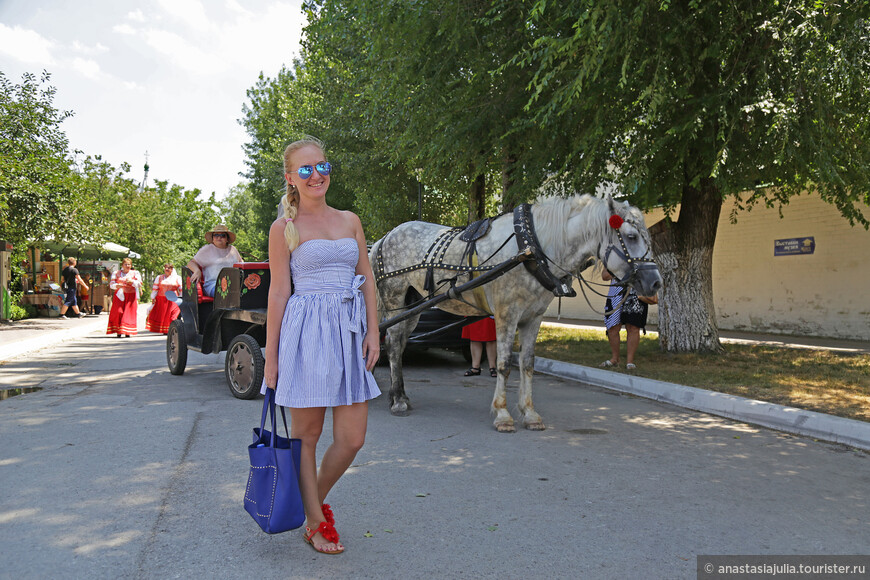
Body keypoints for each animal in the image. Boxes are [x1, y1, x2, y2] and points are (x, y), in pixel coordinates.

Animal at [372, 195, 664, 430]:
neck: (532, 248)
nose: (656, 283)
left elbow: (527, 364)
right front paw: (502, 414)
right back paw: (397, 400)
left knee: (399, 343)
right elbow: (503, 365)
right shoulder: (506, 315)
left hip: (412, 306)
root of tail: (384, 237)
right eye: (631, 237)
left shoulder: (533, 318)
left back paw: (400, 395)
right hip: (394, 299)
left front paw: (529, 413)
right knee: (393, 344)